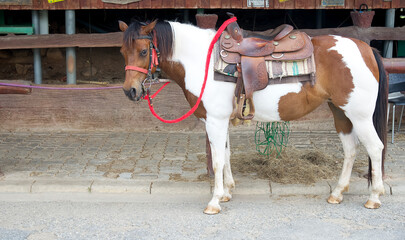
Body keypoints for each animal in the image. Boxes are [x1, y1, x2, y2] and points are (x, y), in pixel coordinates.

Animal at [117, 17, 386, 215]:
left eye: (143, 51)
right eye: (122, 51)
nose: (130, 91)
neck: (202, 61)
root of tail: (367, 48)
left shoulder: (215, 121)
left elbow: (217, 160)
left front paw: (214, 202)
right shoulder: (221, 121)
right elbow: (225, 155)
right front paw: (227, 193)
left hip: (360, 116)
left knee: (375, 148)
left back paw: (374, 197)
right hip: (341, 112)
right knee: (351, 150)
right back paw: (337, 194)